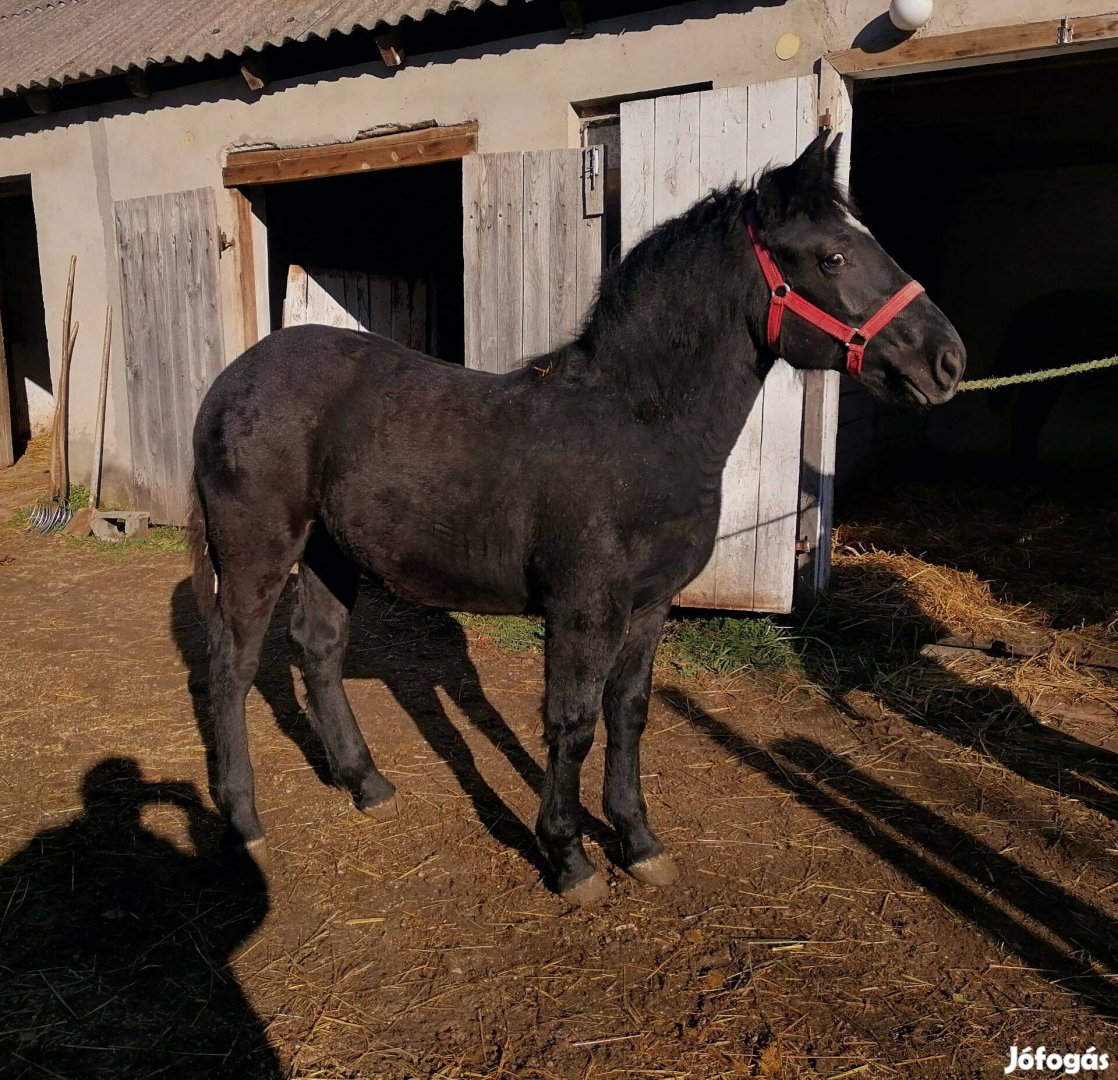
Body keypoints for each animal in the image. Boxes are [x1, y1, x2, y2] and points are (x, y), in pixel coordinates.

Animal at [190, 137, 961, 912]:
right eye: (833, 257)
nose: (947, 359)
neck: (638, 429)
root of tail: (233, 379)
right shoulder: (584, 609)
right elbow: (573, 721)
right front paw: (568, 856)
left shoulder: (649, 607)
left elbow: (628, 714)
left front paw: (640, 842)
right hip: (257, 549)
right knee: (230, 666)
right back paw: (245, 823)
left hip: (329, 551)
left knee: (319, 648)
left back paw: (366, 782)